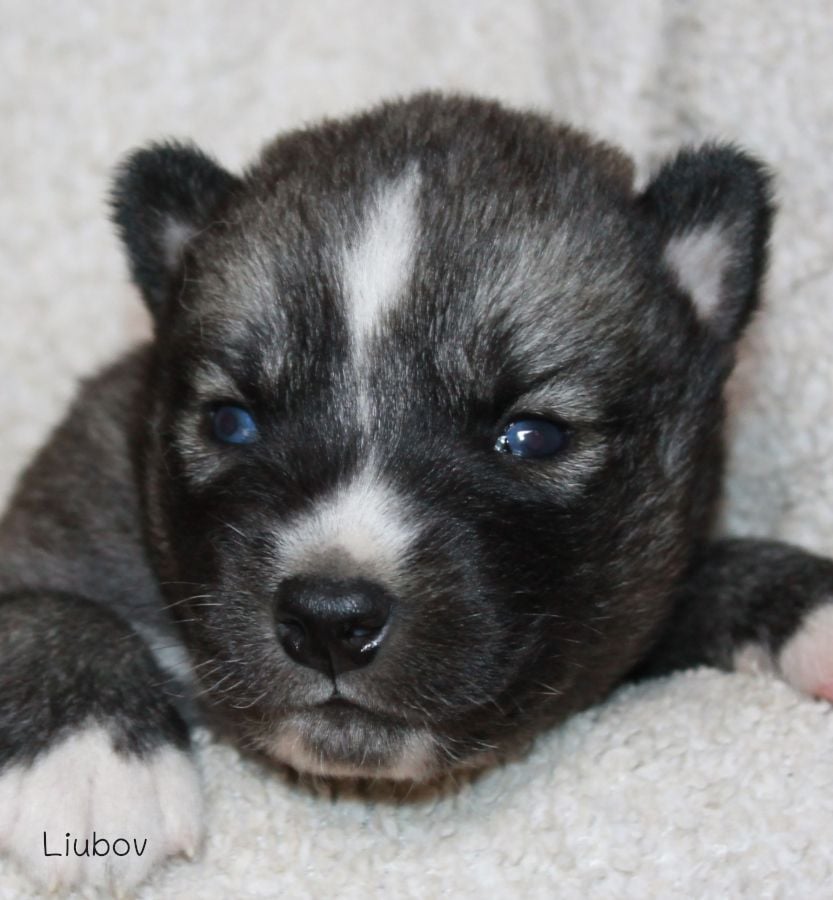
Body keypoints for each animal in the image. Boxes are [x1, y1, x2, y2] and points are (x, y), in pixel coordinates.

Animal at [1, 95, 832, 888]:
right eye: (231, 421)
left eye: (532, 436)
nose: (329, 620)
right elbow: (49, 605)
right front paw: (91, 763)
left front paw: (800, 598)